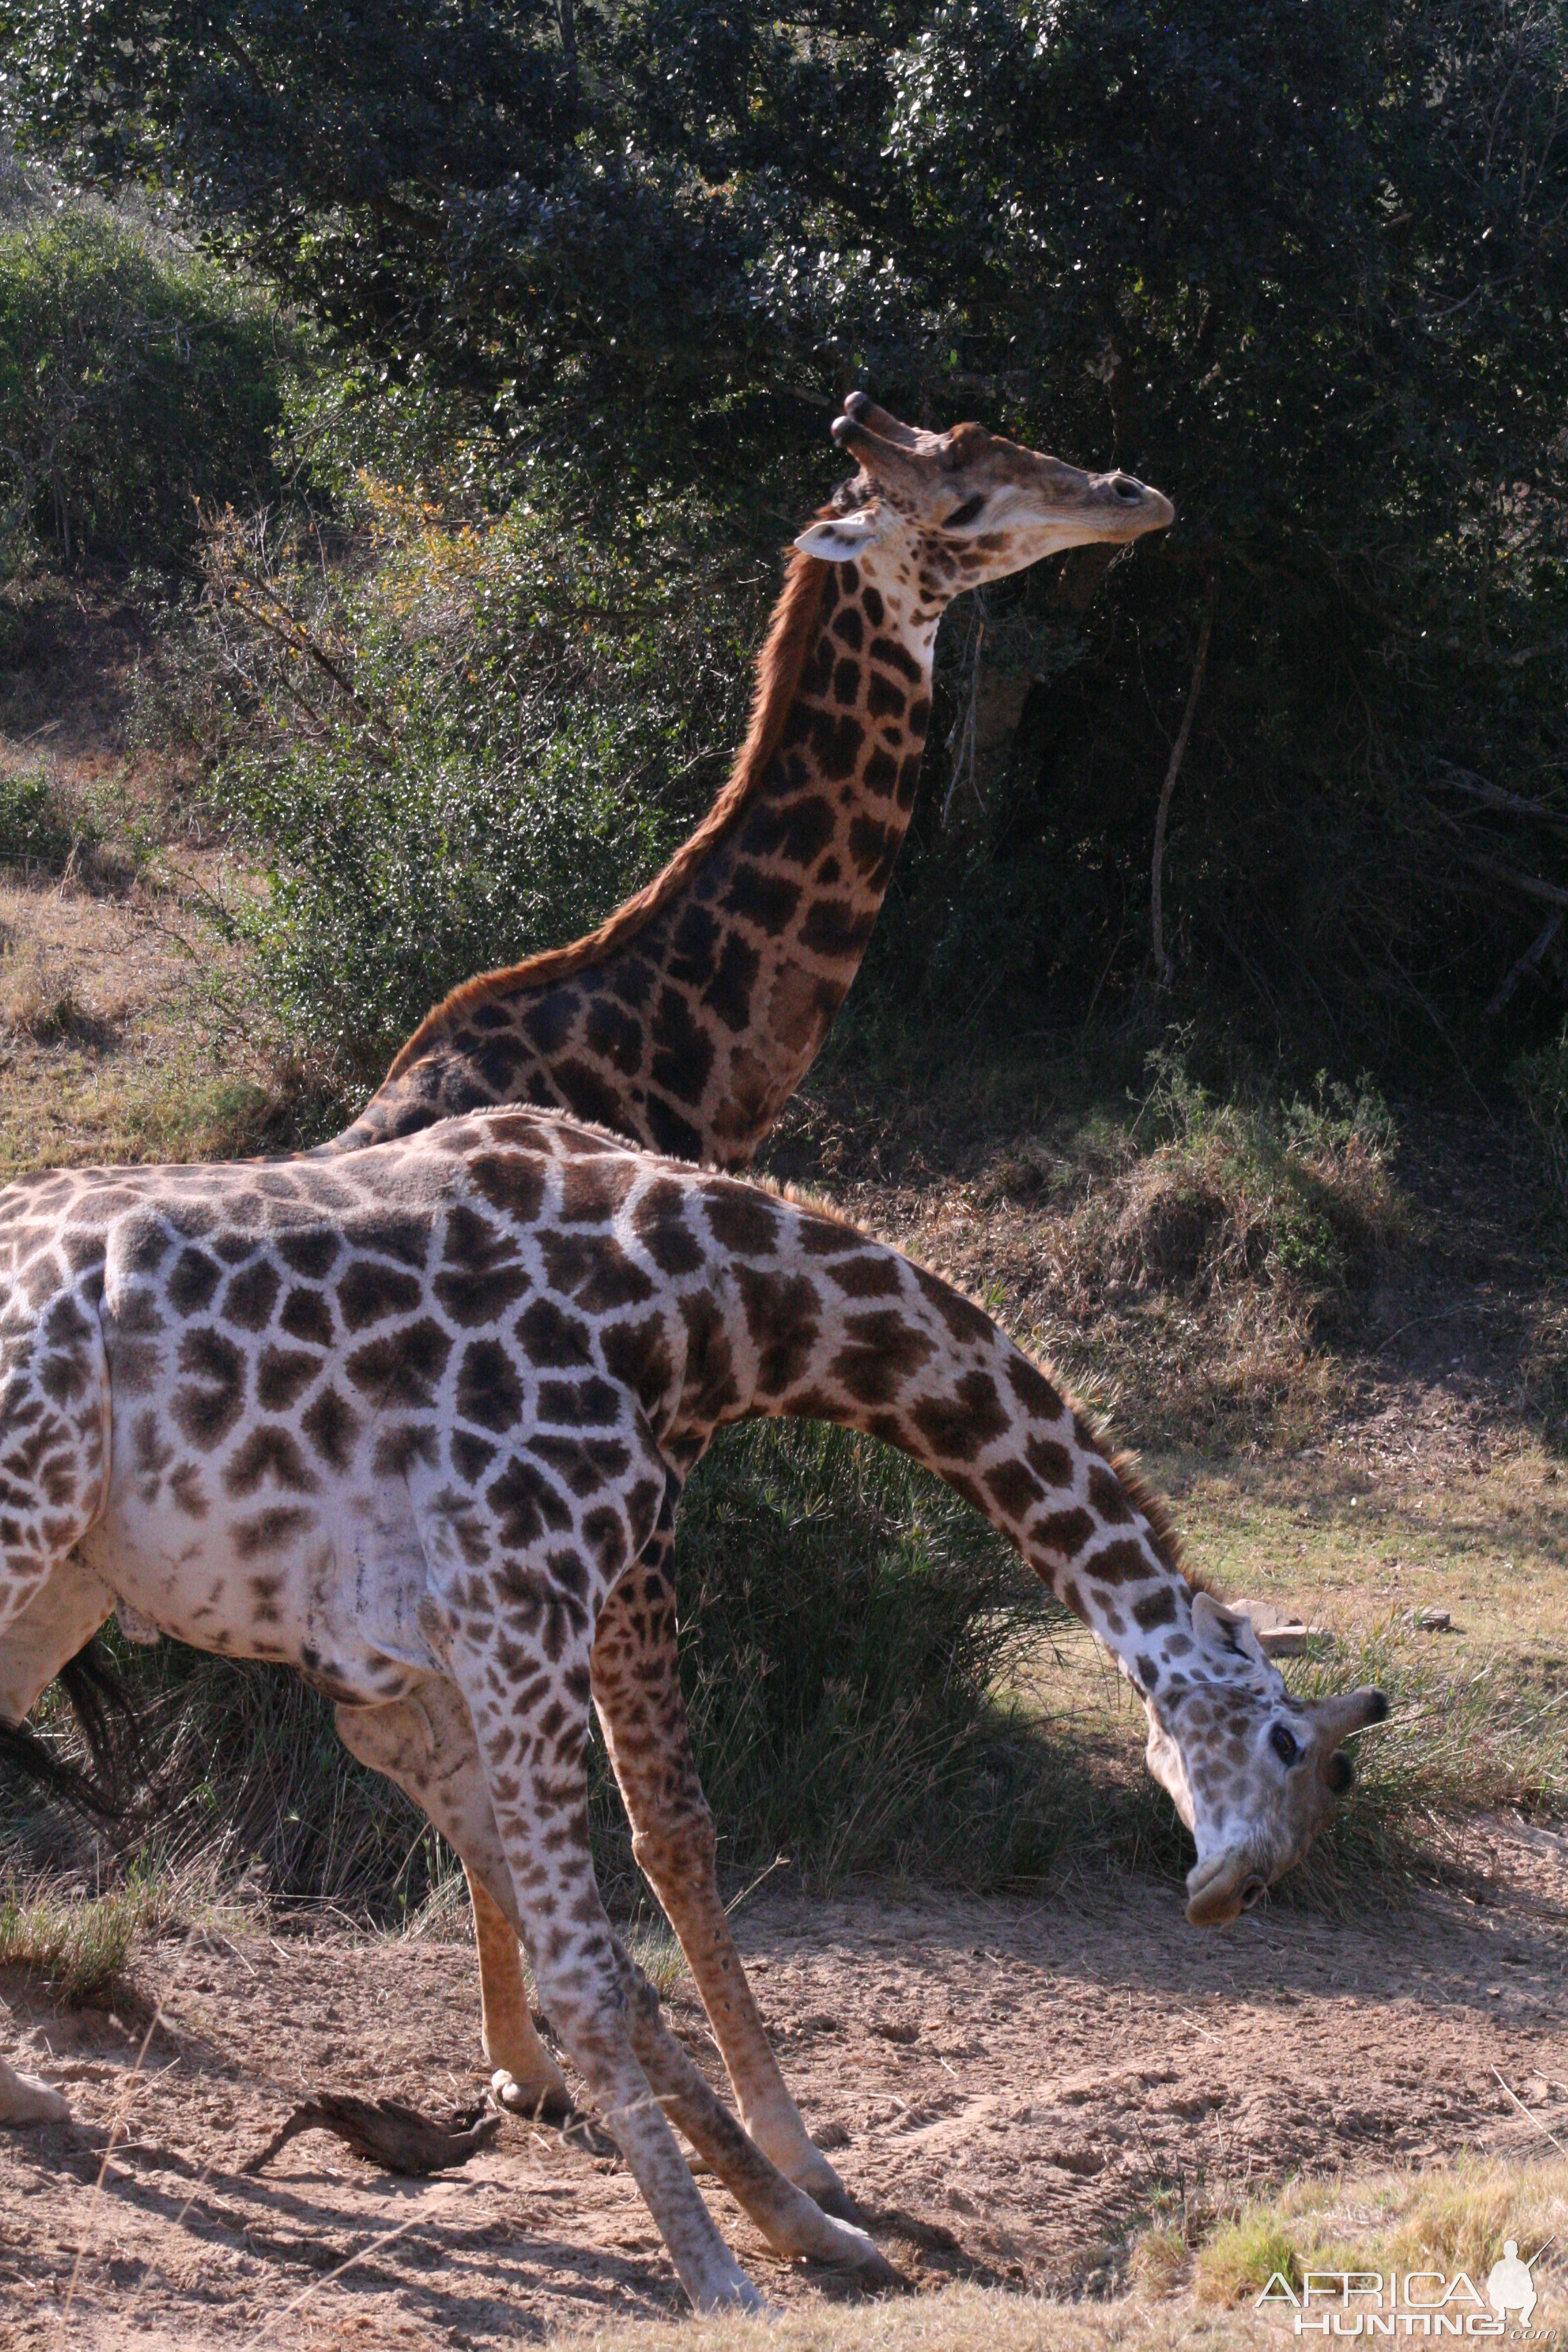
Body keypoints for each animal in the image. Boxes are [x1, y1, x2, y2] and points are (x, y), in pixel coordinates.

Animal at [0, 390, 1171, 2183]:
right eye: (968, 488)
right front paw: (773, 2146)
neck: (663, 1050)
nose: (1129, 492)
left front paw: (522, 2074)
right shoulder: (627, 1497)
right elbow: (665, 1814)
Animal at [0, 1110, 1382, 2304]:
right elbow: (602, 1948)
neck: (708, 1304)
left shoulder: (433, 1657)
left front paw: (808, 2224)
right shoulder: (520, 1597)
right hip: (27, 1519)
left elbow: (614, 1950)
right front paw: (726, 2270)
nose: (1229, 1895)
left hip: (67, 1574)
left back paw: (29, 2101)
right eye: (1296, 1748)